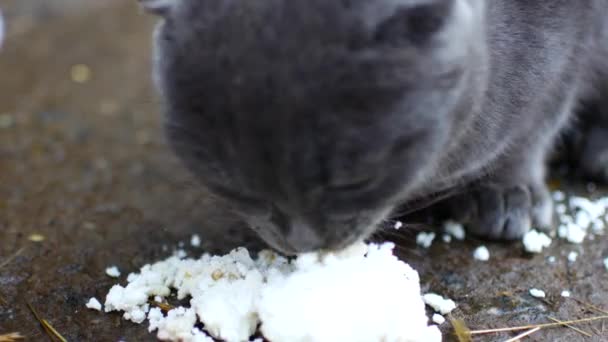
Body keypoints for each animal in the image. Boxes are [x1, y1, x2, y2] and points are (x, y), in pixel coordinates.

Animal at [139, 0, 608, 254]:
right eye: (232, 186)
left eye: (354, 182)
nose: (302, 243)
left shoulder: (568, 43)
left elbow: (534, 127)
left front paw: (509, 193)